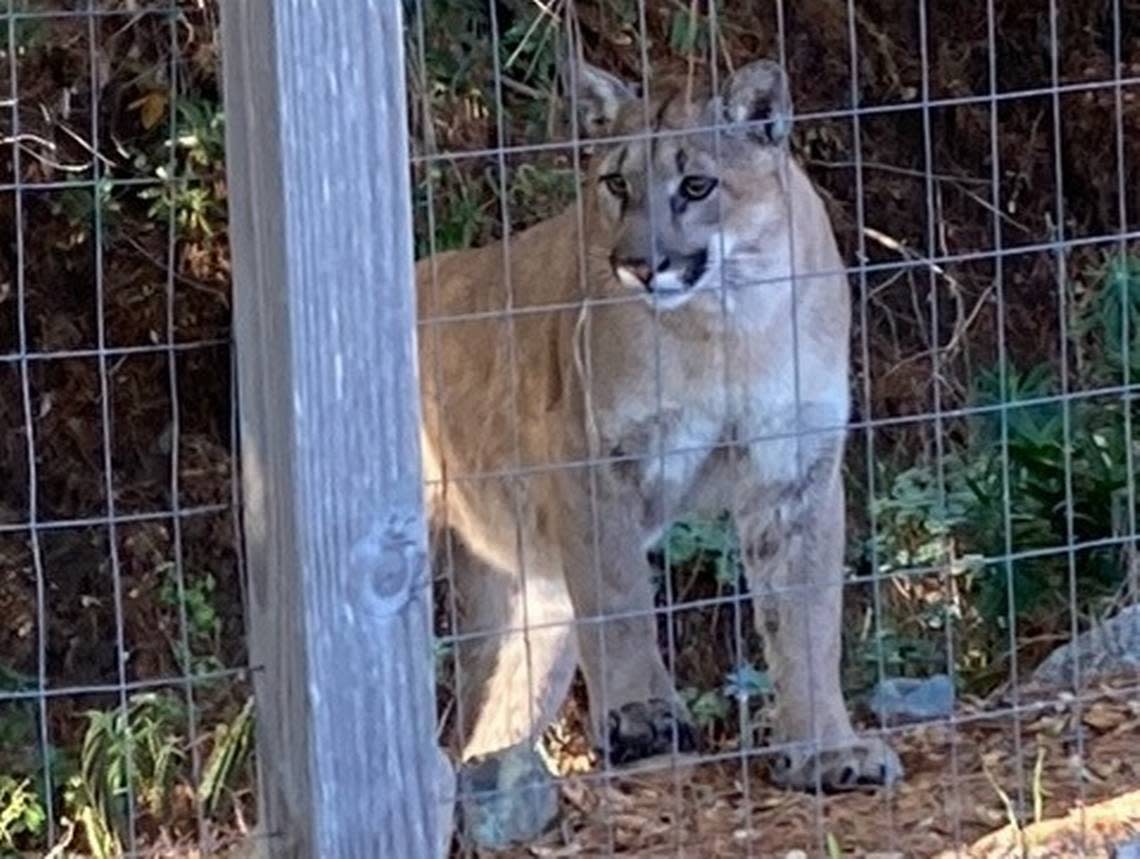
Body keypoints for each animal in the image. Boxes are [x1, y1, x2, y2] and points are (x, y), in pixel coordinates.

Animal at [414, 55, 902, 788]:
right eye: (616, 183)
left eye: (697, 185)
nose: (640, 265)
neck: (725, 320)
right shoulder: (595, 459)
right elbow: (621, 601)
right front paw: (646, 724)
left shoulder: (792, 467)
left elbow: (808, 614)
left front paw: (828, 749)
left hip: (533, 591)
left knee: (498, 711)